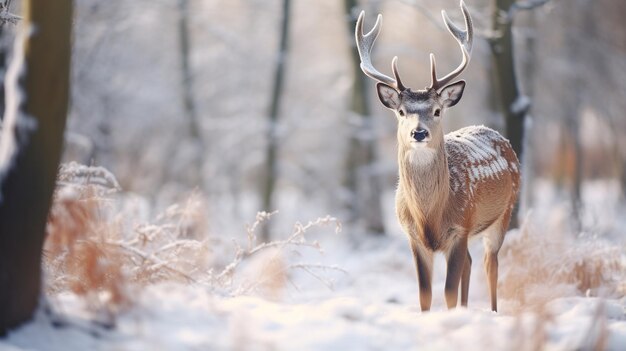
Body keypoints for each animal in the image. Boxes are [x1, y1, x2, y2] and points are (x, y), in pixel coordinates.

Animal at [354, 0, 520, 314]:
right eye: (401, 111)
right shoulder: (413, 237)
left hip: (504, 212)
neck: (429, 216)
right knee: (471, 263)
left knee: (490, 264)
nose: (418, 133)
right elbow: (425, 295)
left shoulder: (460, 227)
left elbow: (448, 293)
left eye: (437, 110)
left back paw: (493, 311)